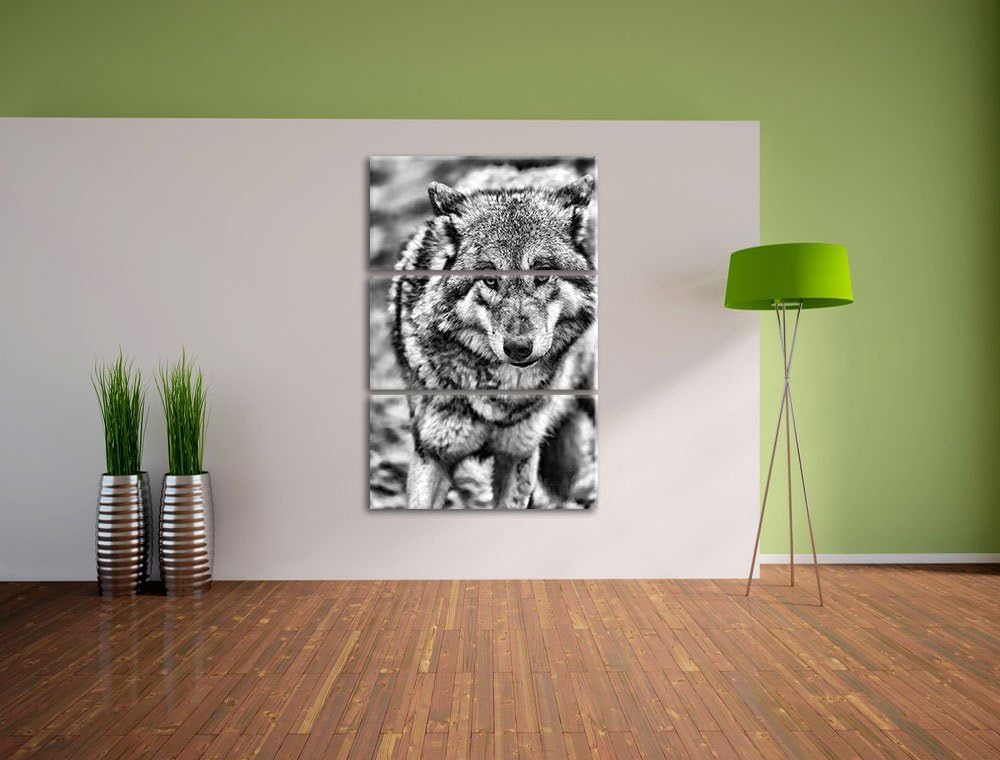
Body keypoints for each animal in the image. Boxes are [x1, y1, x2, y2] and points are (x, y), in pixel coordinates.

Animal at [388, 165, 597, 509]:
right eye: (488, 279)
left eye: (541, 275)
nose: (518, 348)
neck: (496, 398)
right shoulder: (432, 453)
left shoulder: (519, 454)